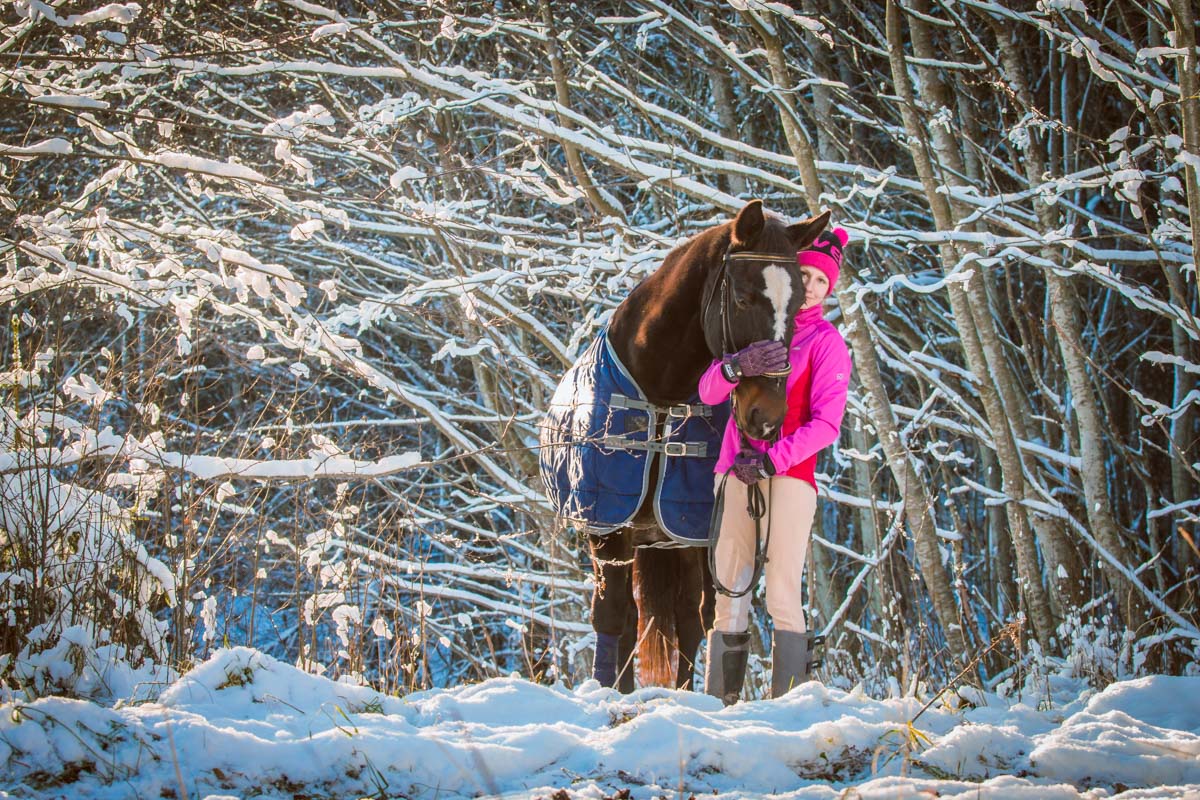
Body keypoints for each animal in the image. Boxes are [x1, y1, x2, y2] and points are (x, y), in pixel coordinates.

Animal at [542, 199, 830, 690]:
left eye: (796, 306)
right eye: (742, 298)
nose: (766, 418)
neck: (661, 392)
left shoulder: (698, 529)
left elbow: (703, 619)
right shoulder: (607, 526)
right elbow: (611, 616)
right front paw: (610, 694)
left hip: (675, 542)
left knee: (689, 618)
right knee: (629, 617)